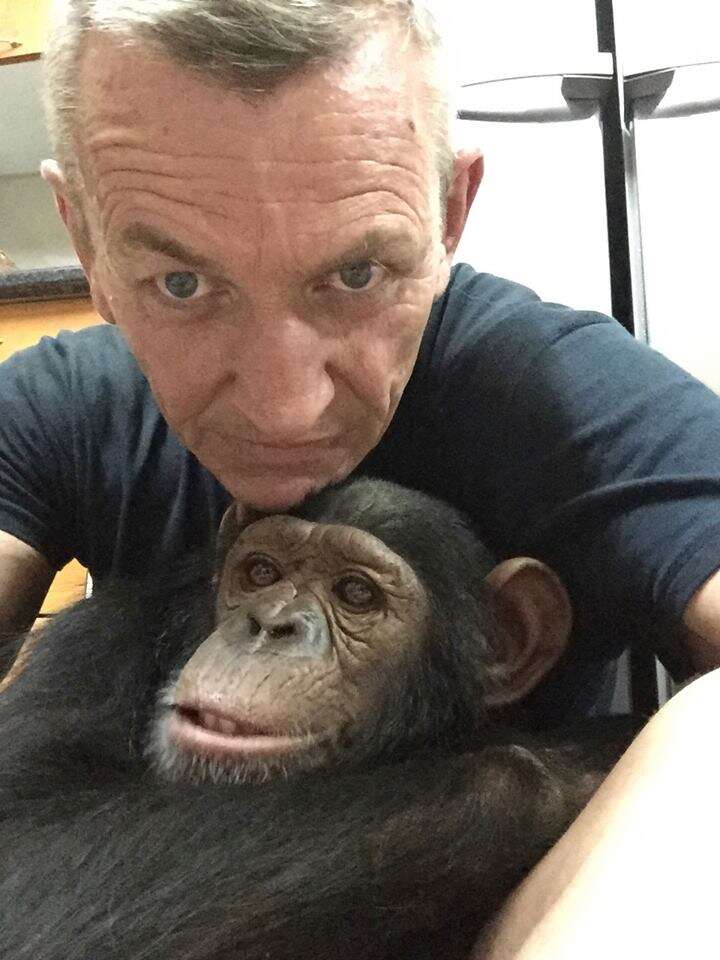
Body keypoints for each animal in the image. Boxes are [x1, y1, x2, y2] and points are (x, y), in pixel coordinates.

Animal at [0, 480, 636, 960]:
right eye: (261, 573)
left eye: (355, 592)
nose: (269, 624)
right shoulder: (98, 643)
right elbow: (27, 845)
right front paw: (569, 770)